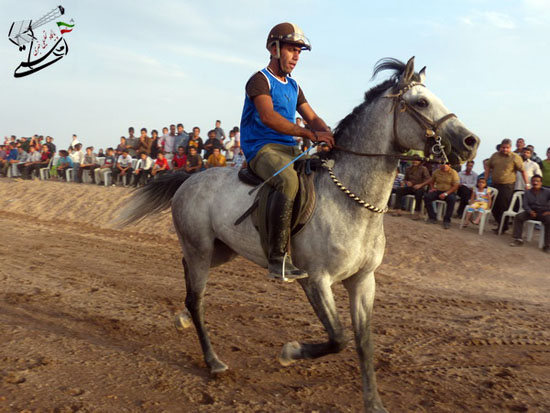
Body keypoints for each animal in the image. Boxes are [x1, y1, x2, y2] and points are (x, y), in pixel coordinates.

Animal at [118, 56, 480, 410]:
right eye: (421, 102)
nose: (471, 142)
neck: (352, 202)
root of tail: (190, 178)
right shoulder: (316, 280)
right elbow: (338, 338)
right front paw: (290, 353)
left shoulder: (363, 281)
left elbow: (363, 342)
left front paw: (374, 403)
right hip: (202, 249)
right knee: (197, 299)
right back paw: (214, 362)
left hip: (219, 251)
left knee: (190, 288)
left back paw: (181, 318)